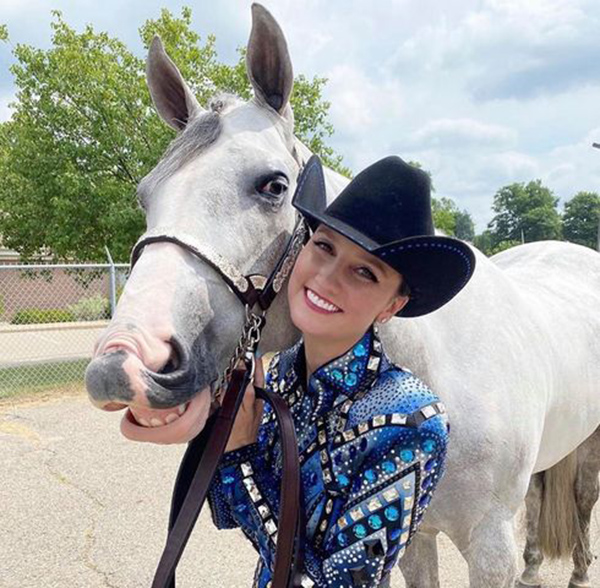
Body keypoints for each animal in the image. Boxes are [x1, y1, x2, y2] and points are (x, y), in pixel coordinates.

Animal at [84, 5, 600, 588]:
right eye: (145, 195)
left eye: (274, 185)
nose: (123, 364)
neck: (439, 370)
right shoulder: (416, 537)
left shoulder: (490, 550)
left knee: (583, 495)